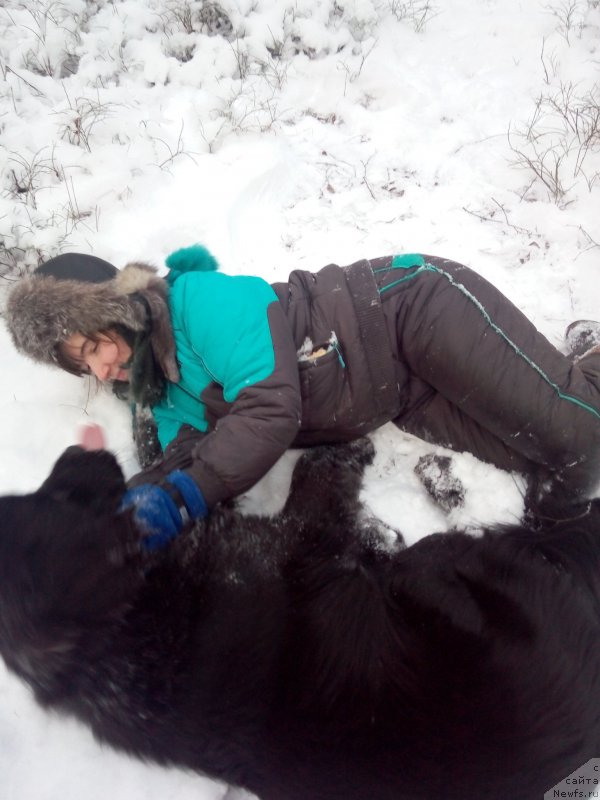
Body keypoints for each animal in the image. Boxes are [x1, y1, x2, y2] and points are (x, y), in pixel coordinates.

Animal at [1, 440, 600, 796]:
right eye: (61, 499)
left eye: (42, 491)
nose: (80, 448)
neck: (123, 631)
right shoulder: (303, 538)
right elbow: (317, 489)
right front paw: (343, 452)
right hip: (438, 572)